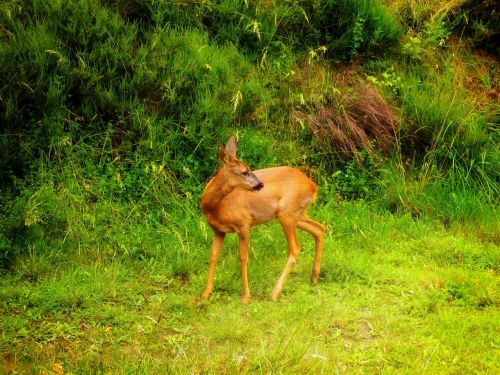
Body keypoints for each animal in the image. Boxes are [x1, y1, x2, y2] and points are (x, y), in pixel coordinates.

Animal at [199, 137, 324, 304]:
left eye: (249, 168)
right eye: (244, 171)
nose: (260, 184)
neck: (216, 206)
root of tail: (313, 186)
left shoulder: (244, 224)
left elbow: (243, 257)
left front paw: (246, 296)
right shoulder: (218, 230)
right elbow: (213, 256)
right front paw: (205, 294)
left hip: (287, 213)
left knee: (296, 248)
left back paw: (275, 293)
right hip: (297, 214)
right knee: (319, 228)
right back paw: (314, 278)